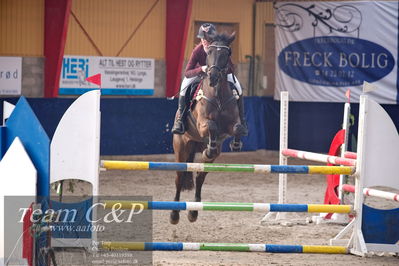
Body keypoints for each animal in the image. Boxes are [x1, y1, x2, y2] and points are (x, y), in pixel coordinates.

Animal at [171, 32, 247, 225]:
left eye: (226, 54)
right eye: (209, 52)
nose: (212, 77)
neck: (218, 94)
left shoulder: (230, 126)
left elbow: (238, 128)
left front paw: (235, 145)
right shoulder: (202, 124)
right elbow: (211, 125)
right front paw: (209, 148)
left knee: (200, 176)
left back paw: (194, 212)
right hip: (181, 148)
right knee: (179, 177)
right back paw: (174, 214)